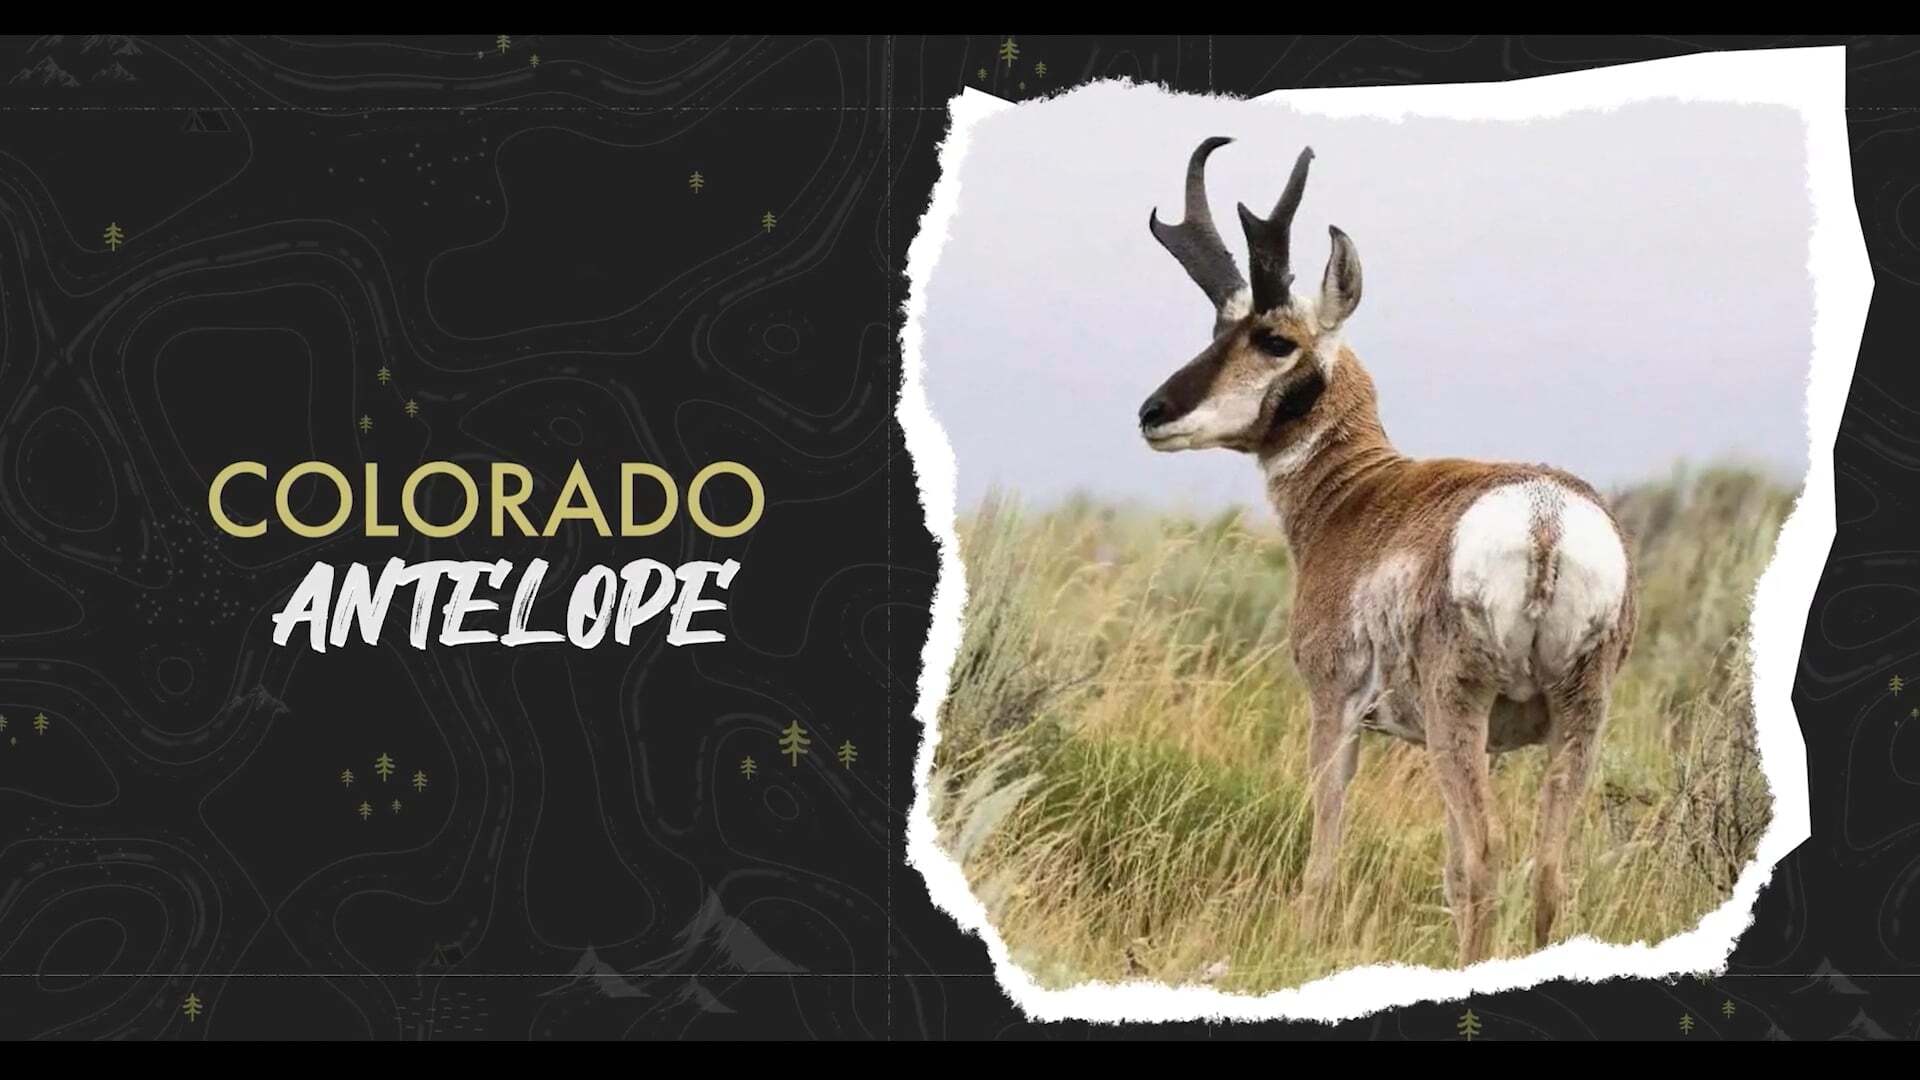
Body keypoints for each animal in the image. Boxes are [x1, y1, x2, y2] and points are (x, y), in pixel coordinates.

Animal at [1136, 137, 1638, 965]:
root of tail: (1544, 518)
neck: (1360, 494)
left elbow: (1324, 852)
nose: (1153, 412)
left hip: (1457, 708)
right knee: (1545, 874)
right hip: (1577, 717)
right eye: (1216, 332)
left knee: (1486, 861)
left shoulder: (1333, 710)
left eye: (1274, 339)